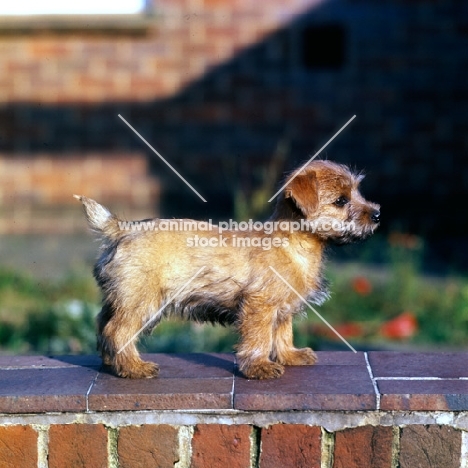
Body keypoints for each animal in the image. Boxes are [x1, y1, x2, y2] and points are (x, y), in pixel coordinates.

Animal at [74, 161, 380, 380]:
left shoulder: (281, 307)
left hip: (122, 298)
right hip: (142, 301)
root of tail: (122, 229)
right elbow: (260, 337)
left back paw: (112, 363)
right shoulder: (259, 306)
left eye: (358, 192)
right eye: (341, 201)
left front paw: (290, 355)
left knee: (103, 324)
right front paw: (259, 367)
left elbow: (283, 333)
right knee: (118, 330)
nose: (377, 213)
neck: (294, 243)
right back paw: (133, 367)